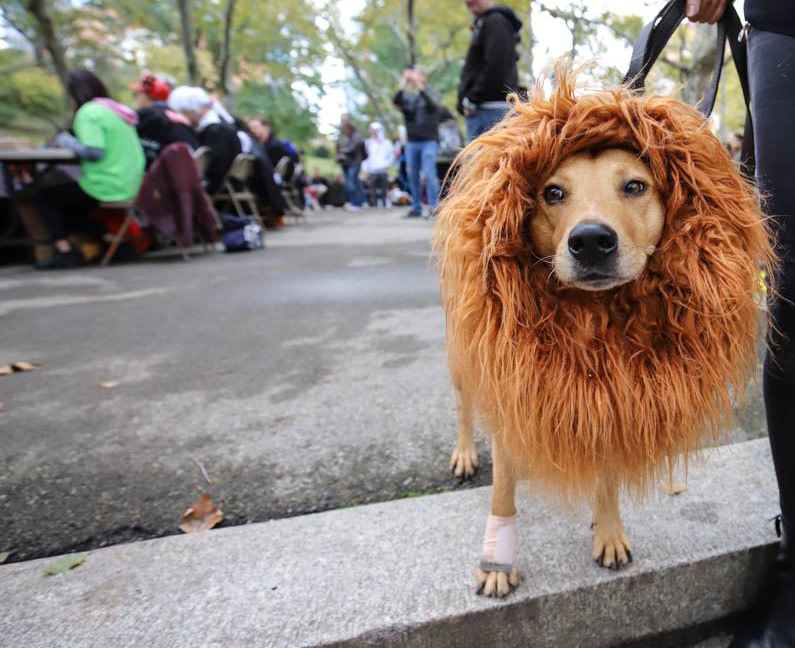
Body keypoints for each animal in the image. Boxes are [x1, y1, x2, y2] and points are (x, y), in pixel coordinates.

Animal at [438, 74, 776, 596]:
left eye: (634, 186)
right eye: (553, 193)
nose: (592, 240)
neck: (596, 321)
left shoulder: (615, 396)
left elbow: (608, 474)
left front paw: (609, 529)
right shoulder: (512, 385)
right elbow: (503, 491)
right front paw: (497, 562)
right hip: (467, 357)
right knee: (464, 407)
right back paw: (464, 454)